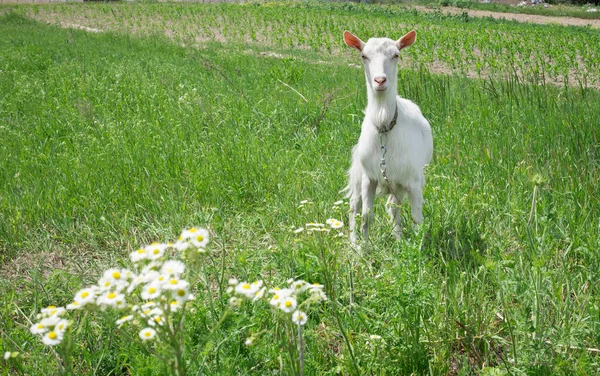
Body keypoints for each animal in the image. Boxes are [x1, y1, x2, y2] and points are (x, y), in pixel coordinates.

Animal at [344, 30, 434, 247]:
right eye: (364, 56)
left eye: (396, 55)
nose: (379, 81)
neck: (384, 126)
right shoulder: (370, 177)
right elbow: (366, 216)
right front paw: (364, 249)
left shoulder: (413, 180)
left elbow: (417, 219)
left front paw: (417, 250)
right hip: (359, 171)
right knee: (354, 204)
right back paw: (353, 242)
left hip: (398, 183)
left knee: (393, 206)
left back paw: (398, 238)